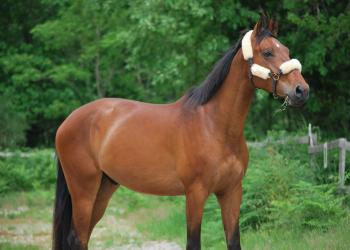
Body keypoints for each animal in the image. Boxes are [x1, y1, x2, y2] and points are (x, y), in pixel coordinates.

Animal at [52, 14, 308, 250]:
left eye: (286, 50)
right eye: (267, 52)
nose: (301, 90)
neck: (214, 126)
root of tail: (68, 121)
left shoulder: (232, 192)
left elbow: (233, 241)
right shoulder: (195, 193)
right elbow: (193, 243)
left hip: (103, 189)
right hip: (83, 190)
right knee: (77, 237)